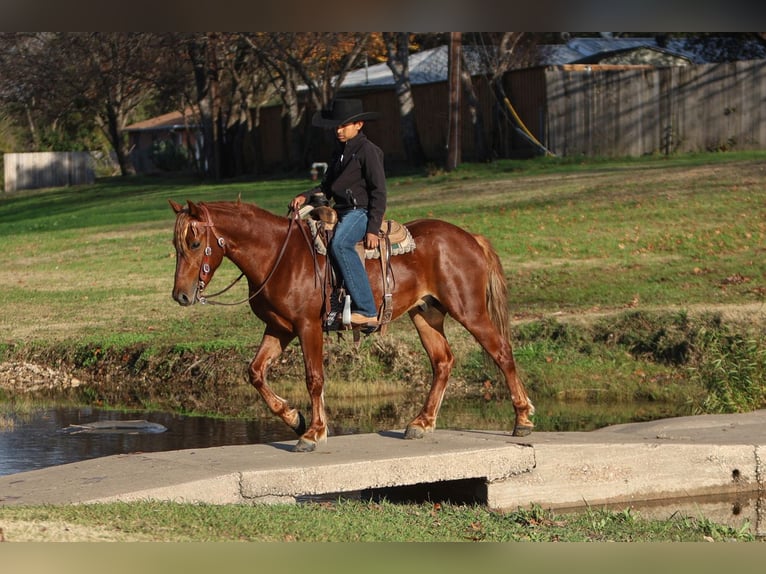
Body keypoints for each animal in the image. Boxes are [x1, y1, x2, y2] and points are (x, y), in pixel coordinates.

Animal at [171, 200, 536, 452]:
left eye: (194, 243)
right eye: (176, 245)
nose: (181, 295)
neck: (279, 256)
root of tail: (469, 237)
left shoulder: (307, 327)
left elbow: (314, 378)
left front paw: (314, 432)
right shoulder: (279, 328)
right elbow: (256, 372)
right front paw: (295, 419)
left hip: (469, 311)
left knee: (502, 352)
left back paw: (522, 419)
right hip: (426, 314)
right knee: (443, 361)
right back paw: (421, 423)